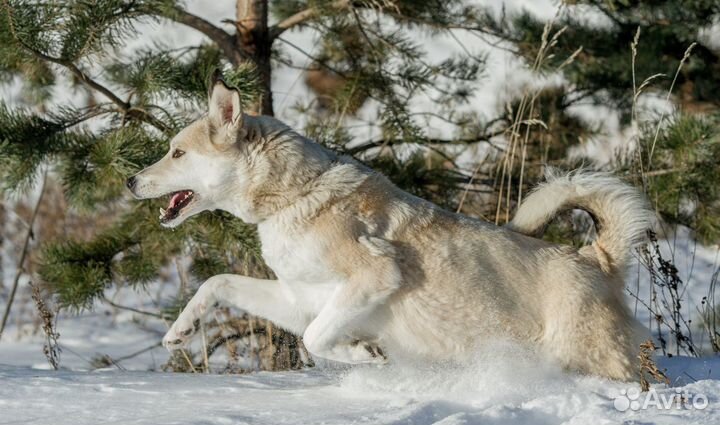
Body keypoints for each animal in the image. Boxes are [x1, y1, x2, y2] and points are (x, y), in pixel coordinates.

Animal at [126, 71, 648, 380]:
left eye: (177, 152)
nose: (130, 180)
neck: (294, 197)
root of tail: (598, 260)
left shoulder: (374, 276)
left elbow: (317, 340)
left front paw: (365, 355)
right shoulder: (299, 301)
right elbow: (217, 282)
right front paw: (180, 331)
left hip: (592, 360)